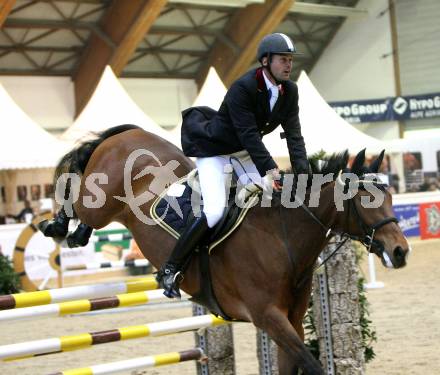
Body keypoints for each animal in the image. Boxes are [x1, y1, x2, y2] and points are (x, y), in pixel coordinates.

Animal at [40, 125, 410, 374]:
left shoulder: (289, 320)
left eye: (390, 195)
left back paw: (76, 235)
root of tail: (128, 132)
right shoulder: (268, 317)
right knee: (77, 198)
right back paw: (56, 227)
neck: (281, 237)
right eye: (364, 199)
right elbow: (313, 365)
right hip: (101, 201)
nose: (401, 251)